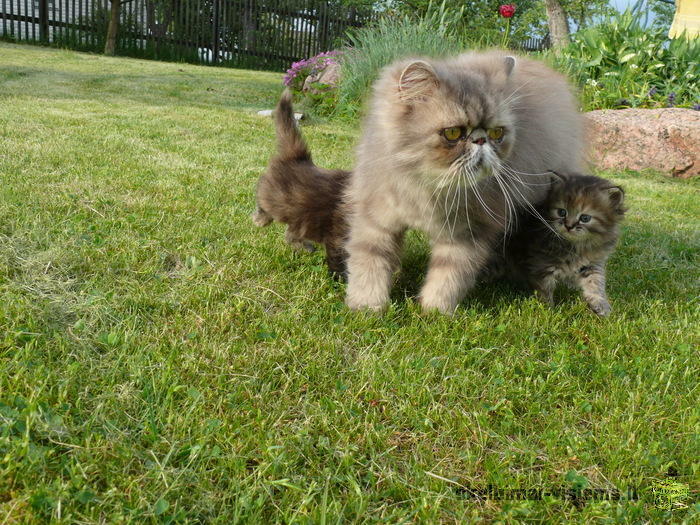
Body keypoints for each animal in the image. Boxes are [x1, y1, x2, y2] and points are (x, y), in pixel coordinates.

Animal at [253, 90, 348, 276]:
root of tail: (298, 157)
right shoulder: (338, 237)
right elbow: (339, 261)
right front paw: (339, 279)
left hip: (297, 214)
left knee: (290, 234)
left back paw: (305, 246)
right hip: (276, 199)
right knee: (264, 202)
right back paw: (260, 219)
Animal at [344, 50, 584, 312]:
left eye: (497, 133)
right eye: (453, 133)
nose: (480, 140)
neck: (427, 185)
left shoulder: (468, 232)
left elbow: (448, 276)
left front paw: (433, 311)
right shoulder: (376, 220)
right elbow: (370, 264)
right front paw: (367, 307)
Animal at [484, 171, 628, 316]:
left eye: (585, 218)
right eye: (562, 212)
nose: (569, 226)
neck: (576, 246)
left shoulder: (592, 264)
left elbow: (596, 283)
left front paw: (601, 305)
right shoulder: (542, 265)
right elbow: (544, 290)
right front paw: (548, 310)